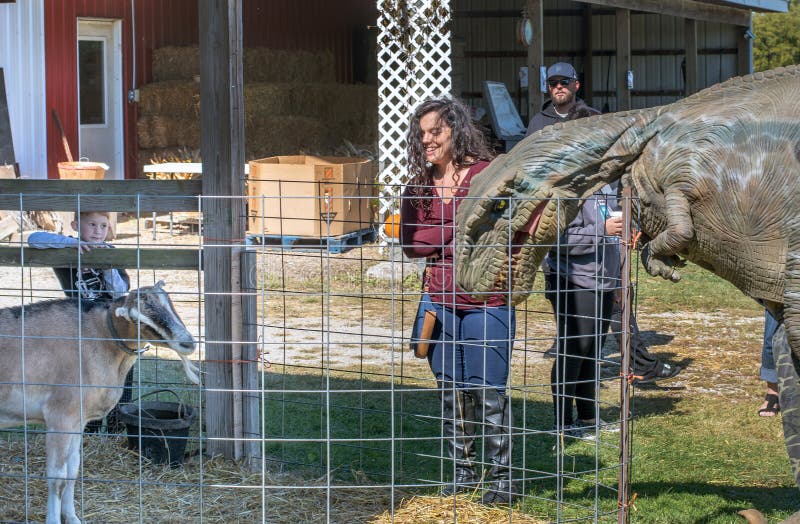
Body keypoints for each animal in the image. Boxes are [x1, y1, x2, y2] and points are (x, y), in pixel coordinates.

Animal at [0, 282, 199, 524]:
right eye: (138, 318)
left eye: (169, 302)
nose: (187, 342)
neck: (98, 336)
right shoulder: (60, 417)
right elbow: (57, 477)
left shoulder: (77, 421)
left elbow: (73, 471)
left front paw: (73, 518)